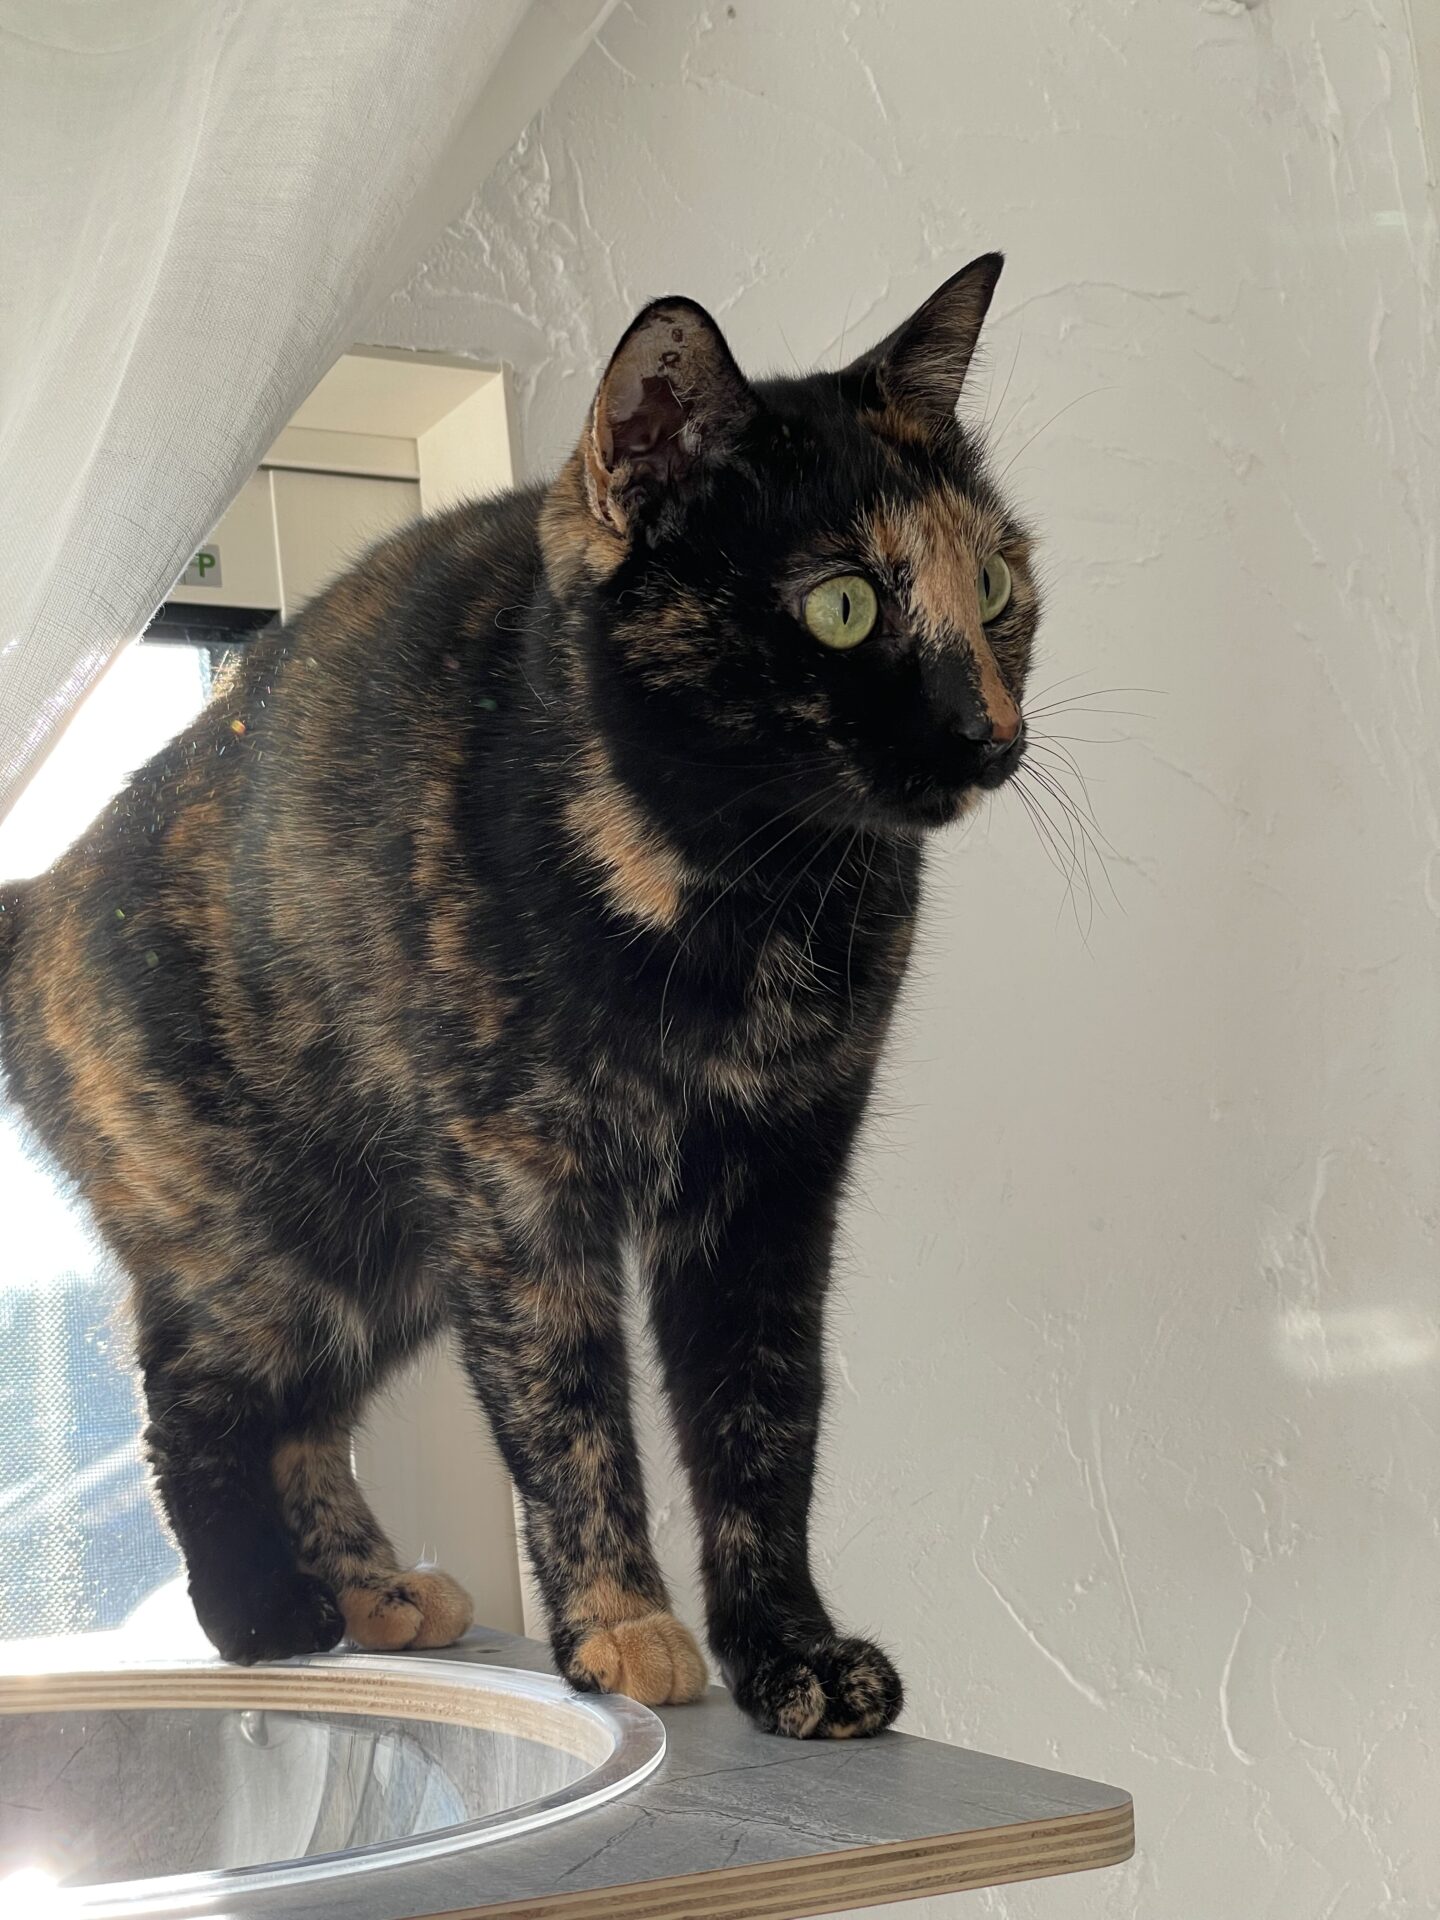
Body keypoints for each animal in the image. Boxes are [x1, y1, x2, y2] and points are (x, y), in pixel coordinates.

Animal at [0, 254, 1038, 1739]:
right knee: (194, 1394)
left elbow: (764, 1421)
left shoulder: (775, 1182)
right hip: (271, 1236)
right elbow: (566, 1414)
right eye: (843, 604)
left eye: (1000, 581)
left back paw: (375, 1593)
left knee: (301, 1421)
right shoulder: (518, 1187)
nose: (991, 729)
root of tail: (41, 890)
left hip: (388, 1256)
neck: (745, 898)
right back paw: (264, 1613)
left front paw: (789, 1652)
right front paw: (618, 1628)